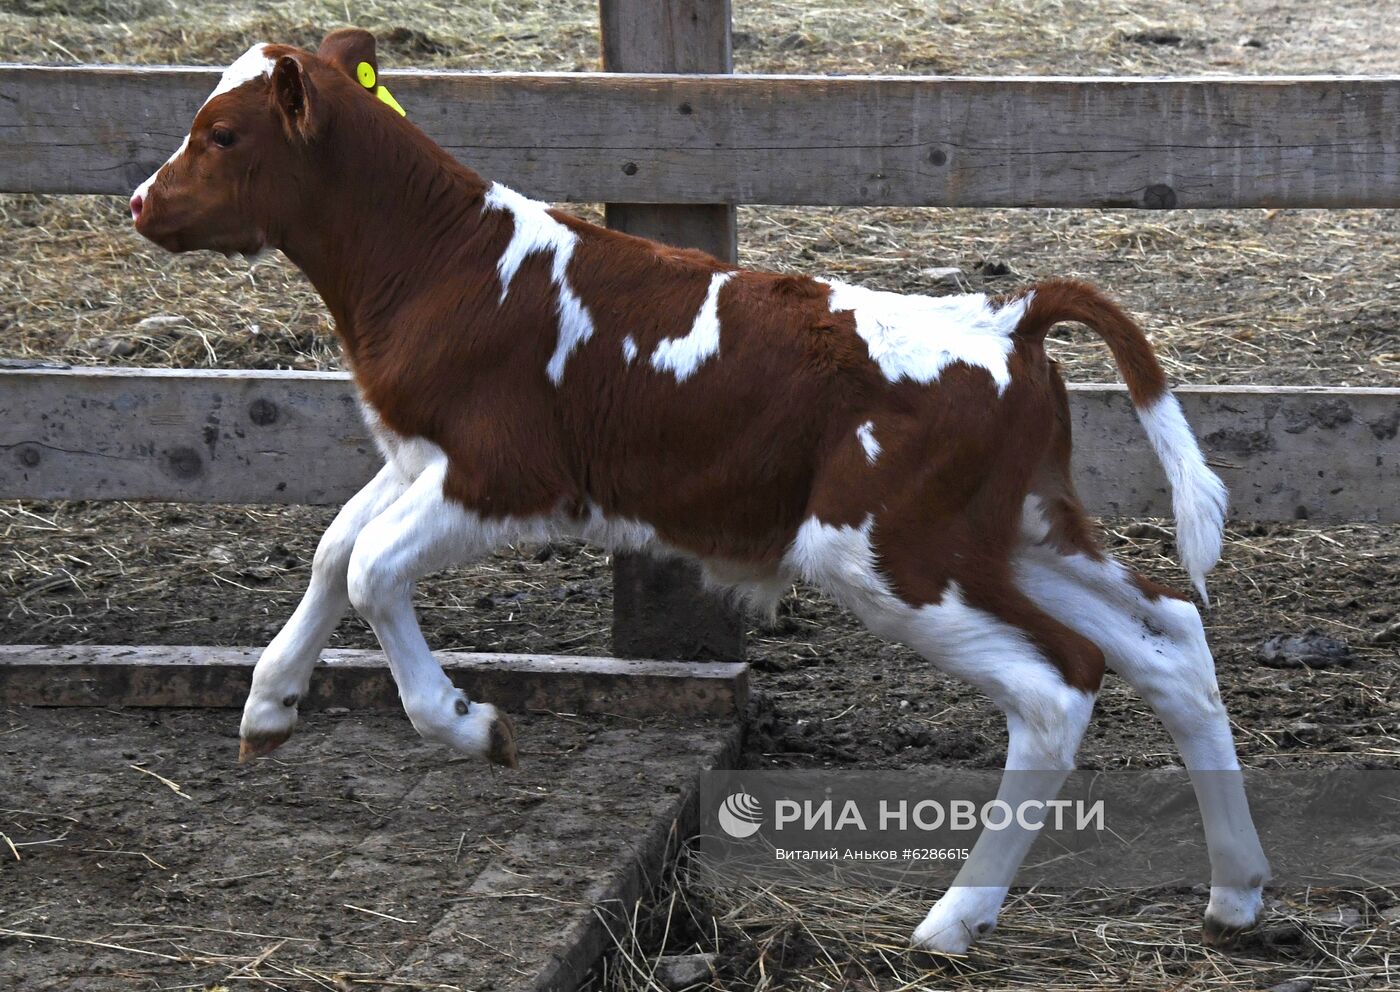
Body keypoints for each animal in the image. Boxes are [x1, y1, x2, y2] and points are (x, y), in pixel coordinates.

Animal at [131, 30, 1271, 957]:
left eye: (221, 134)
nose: (142, 202)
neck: (440, 262)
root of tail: (1006, 319)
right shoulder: (419, 458)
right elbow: (333, 548)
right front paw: (270, 702)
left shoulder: (506, 475)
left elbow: (369, 568)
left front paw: (466, 722)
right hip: (1014, 536)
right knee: (1169, 641)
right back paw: (1237, 893)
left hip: (884, 554)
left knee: (1057, 687)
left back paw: (955, 918)